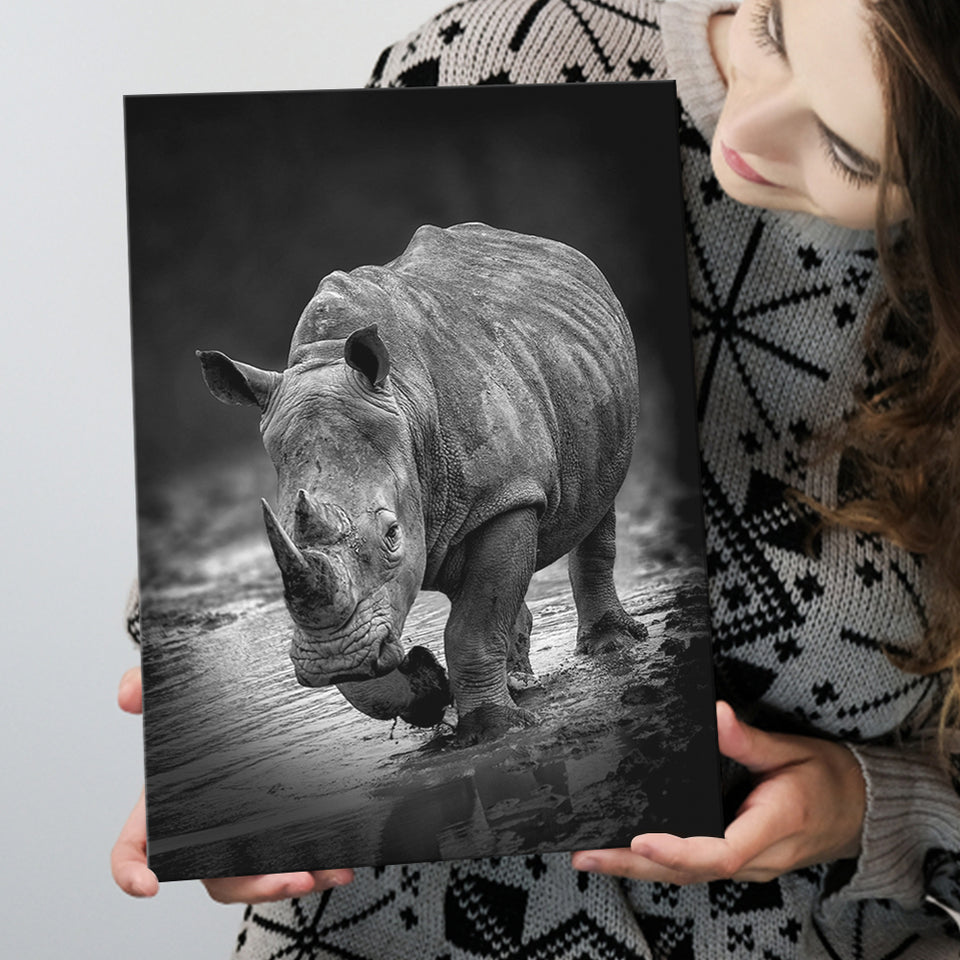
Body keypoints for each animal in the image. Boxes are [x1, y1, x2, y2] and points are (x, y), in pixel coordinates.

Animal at [198, 222, 647, 744]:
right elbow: (381, 657)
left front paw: (493, 730)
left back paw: (610, 648)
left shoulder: (507, 496)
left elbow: (472, 625)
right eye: (282, 538)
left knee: (598, 501)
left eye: (392, 534)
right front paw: (427, 686)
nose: (332, 660)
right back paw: (518, 680)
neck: (408, 412)